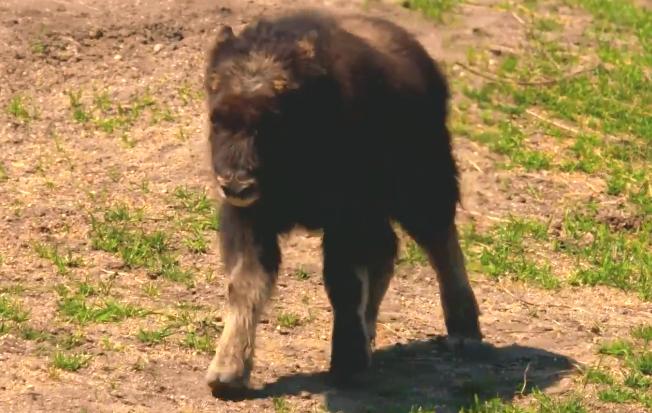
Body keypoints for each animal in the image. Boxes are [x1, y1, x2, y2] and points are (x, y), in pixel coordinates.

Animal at [204, 10, 484, 396]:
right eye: (216, 118)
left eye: (272, 119)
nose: (235, 183)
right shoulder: (251, 219)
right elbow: (245, 283)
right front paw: (227, 374)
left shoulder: (347, 217)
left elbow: (343, 282)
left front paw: (347, 363)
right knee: (387, 252)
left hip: (424, 185)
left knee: (441, 243)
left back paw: (464, 333)